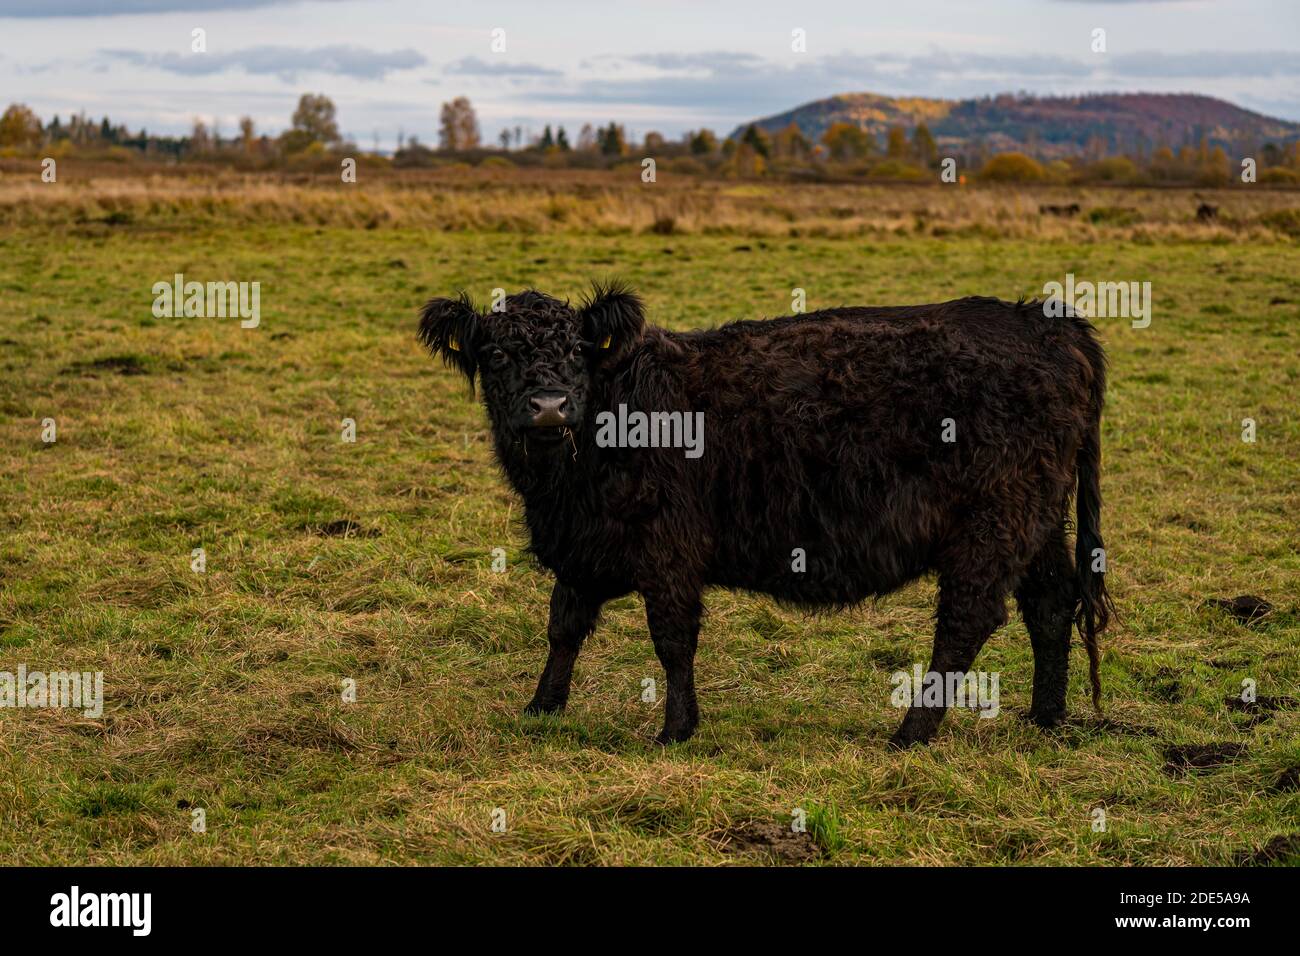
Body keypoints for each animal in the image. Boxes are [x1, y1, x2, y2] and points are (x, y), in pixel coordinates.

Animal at [421, 283, 1112, 749]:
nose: (548, 405)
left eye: (576, 349)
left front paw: (676, 730)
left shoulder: (670, 549)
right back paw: (1045, 717)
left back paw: (911, 732)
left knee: (967, 621)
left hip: (993, 520)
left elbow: (672, 639)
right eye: (497, 355)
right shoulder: (582, 548)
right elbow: (563, 627)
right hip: (1039, 520)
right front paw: (542, 706)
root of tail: (1045, 321)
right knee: (1051, 603)